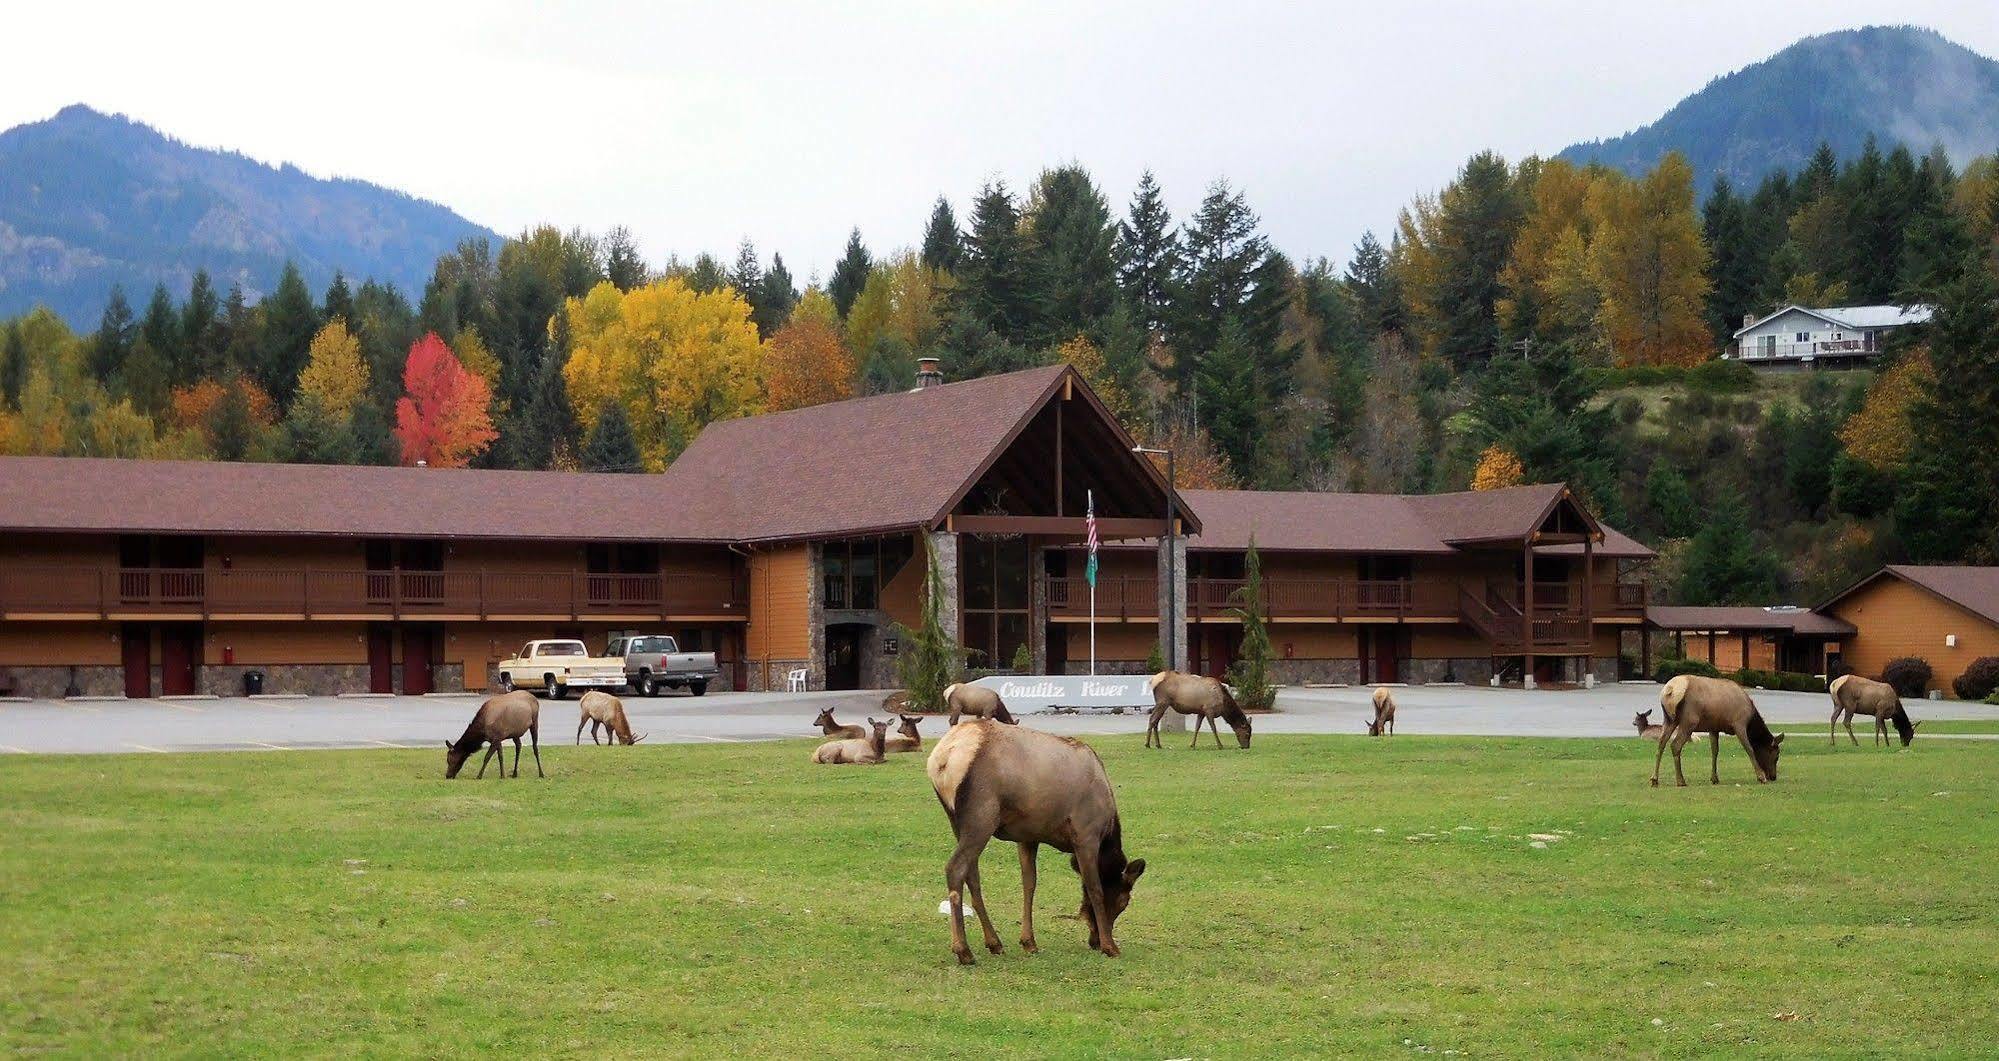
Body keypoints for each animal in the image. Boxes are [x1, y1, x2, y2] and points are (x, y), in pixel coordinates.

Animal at [927, 723, 1151, 963]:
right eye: (1124, 901)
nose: (1095, 941)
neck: (1107, 830)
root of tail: (943, 758)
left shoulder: (1028, 837)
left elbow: (1029, 883)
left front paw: (1029, 941)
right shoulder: (1086, 834)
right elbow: (1095, 888)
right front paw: (1110, 946)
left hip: (956, 820)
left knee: (972, 875)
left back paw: (994, 942)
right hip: (982, 815)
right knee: (955, 868)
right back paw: (963, 950)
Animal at [1647, 671, 1791, 787]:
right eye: (1776, 755)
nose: (1773, 777)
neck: (1751, 720)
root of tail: (1670, 690)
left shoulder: (1714, 728)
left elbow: (1715, 751)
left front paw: (1714, 778)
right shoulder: (1739, 724)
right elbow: (1749, 749)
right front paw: (1761, 777)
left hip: (1669, 719)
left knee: (1661, 744)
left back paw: (1654, 779)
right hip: (1689, 720)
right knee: (1675, 745)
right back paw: (1681, 781)